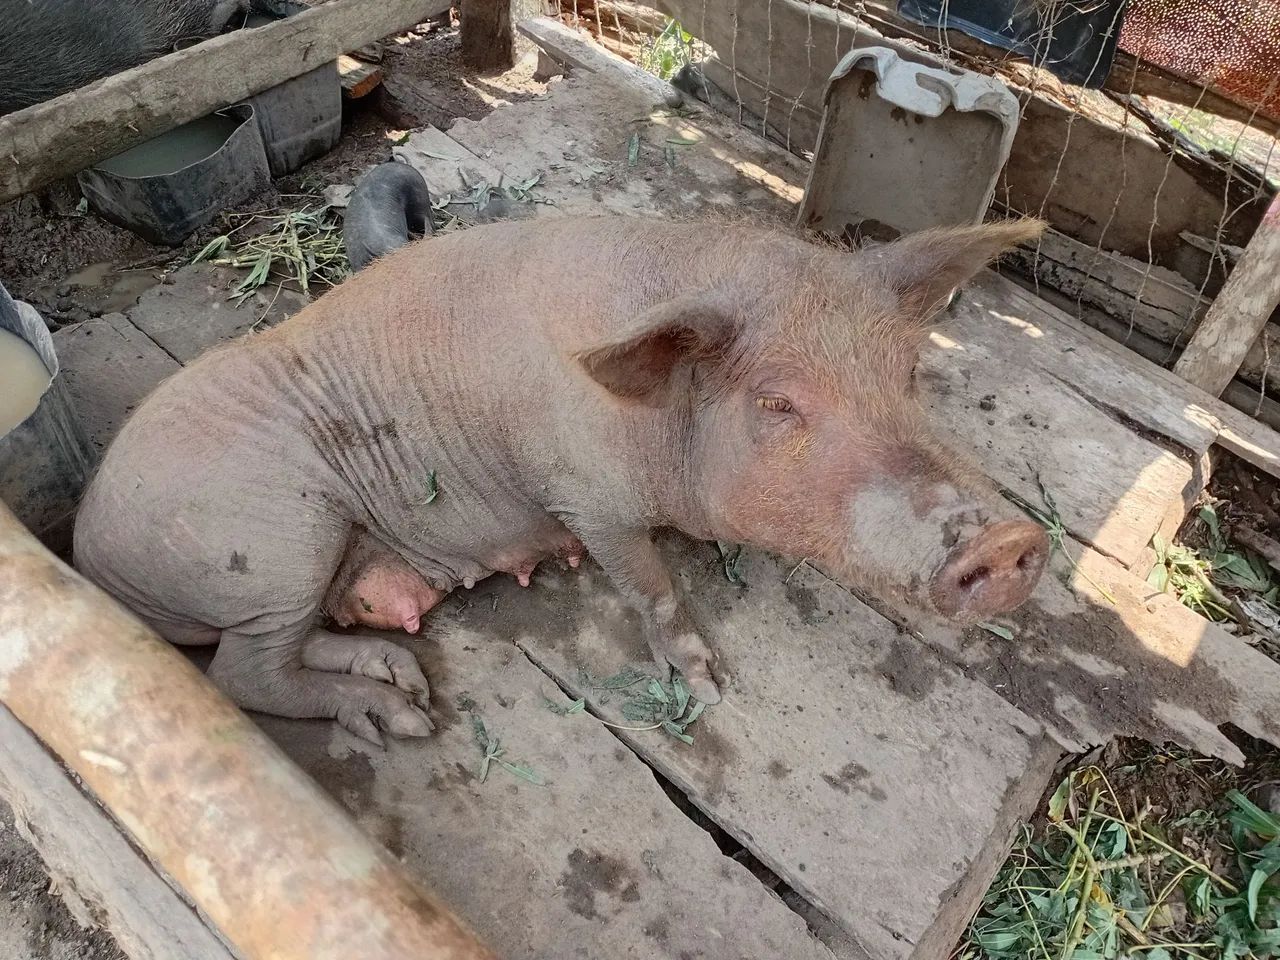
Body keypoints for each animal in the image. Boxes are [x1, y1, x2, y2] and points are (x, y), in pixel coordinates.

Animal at [74, 215, 1050, 745]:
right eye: (777, 402)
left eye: (910, 372)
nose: (1011, 541)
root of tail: (88, 545)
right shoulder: (586, 496)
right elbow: (653, 586)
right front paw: (709, 688)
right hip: (277, 540)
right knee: (243, 675)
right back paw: (407, 720)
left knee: (280, 650)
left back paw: (401, 678)